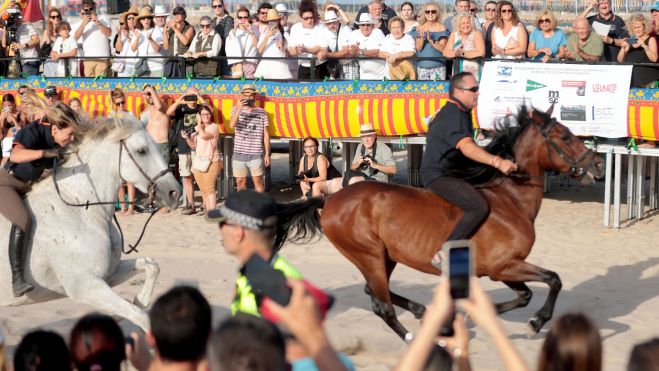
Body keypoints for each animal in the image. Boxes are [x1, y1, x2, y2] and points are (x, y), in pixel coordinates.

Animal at [0, 116, 180, 332]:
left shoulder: (108, 275)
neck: (79, 207)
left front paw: (137, 301)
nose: (175, 192)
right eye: (141, 150)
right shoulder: (86, 286)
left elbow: (152, 266)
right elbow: (141, 317)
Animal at [276, 106, 604, 342]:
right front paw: (535, 322)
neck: (510, 200)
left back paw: (421, 311)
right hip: (367, 255)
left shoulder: (504, 268)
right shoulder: (504, 266)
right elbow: (553, 280)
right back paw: (413, 336)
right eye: (565, 136)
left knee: (375, 292)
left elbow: (526, 294)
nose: (598, 164)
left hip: (385, 256)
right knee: (381, 304)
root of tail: (330, 200)